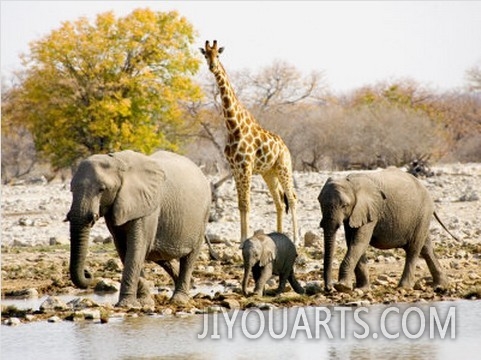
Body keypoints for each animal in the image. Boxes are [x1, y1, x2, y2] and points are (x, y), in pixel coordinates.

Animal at [65, 149, 212, 306]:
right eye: (71, 190)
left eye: (102, 189)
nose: (88, 272)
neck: (117, 160)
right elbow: (124, 248)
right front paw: (144, 302)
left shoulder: (148, 207)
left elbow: (136, 248)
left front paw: (126, 304)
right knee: (158, 255)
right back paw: (191, 284)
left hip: (203, 216)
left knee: (188, 258)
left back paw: (179, 299)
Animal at [198, 40, 296, 246]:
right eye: (205, 55)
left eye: (218, 54)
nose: (212, 67)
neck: (233, 126)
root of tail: (285, 147)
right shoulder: (236, 168)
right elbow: (241, 204)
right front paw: (242, 238)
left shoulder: (246, 166)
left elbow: (247, 203)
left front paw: (244, 239)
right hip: (269, 173)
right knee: (279, 201)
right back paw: (280, 235)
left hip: (284, 167)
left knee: (292, 198)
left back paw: (297, 238)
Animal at [316, 167, 452, 294]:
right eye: (320, 203)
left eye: (344, 205)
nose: (328, 288)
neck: (350, 182)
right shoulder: (357, 213)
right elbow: (353, 243)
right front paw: (362, 289)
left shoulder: (370, 211)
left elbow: (359, 242)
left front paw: (343, 287)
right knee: (426, 247)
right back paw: (440, 286)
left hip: (422, 213)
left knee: (413, 249)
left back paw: (404, 287)